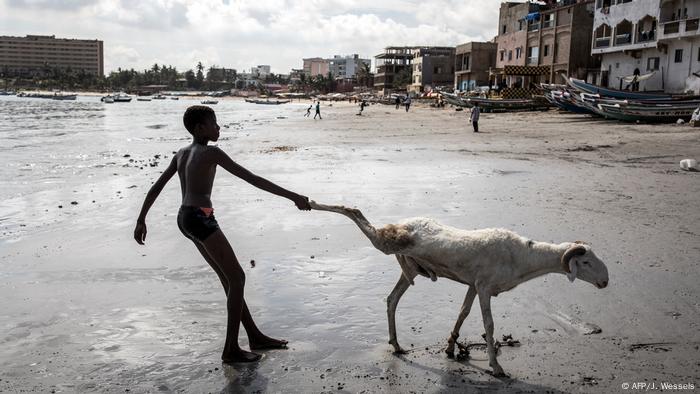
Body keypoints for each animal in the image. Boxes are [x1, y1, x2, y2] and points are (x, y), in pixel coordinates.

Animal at [308, 202, 608, 378]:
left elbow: (463, 312)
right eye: (585, 262)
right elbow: (488, 324)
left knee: (391, 299)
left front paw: (451, 347)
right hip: (387, 241)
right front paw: (496, 367)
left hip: (410, 269)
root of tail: (404, 221)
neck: (524, 257)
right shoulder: (484, 286)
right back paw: (309, 202)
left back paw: (396, 344)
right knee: (355, 213)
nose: (605, 281)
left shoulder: (473, 285)